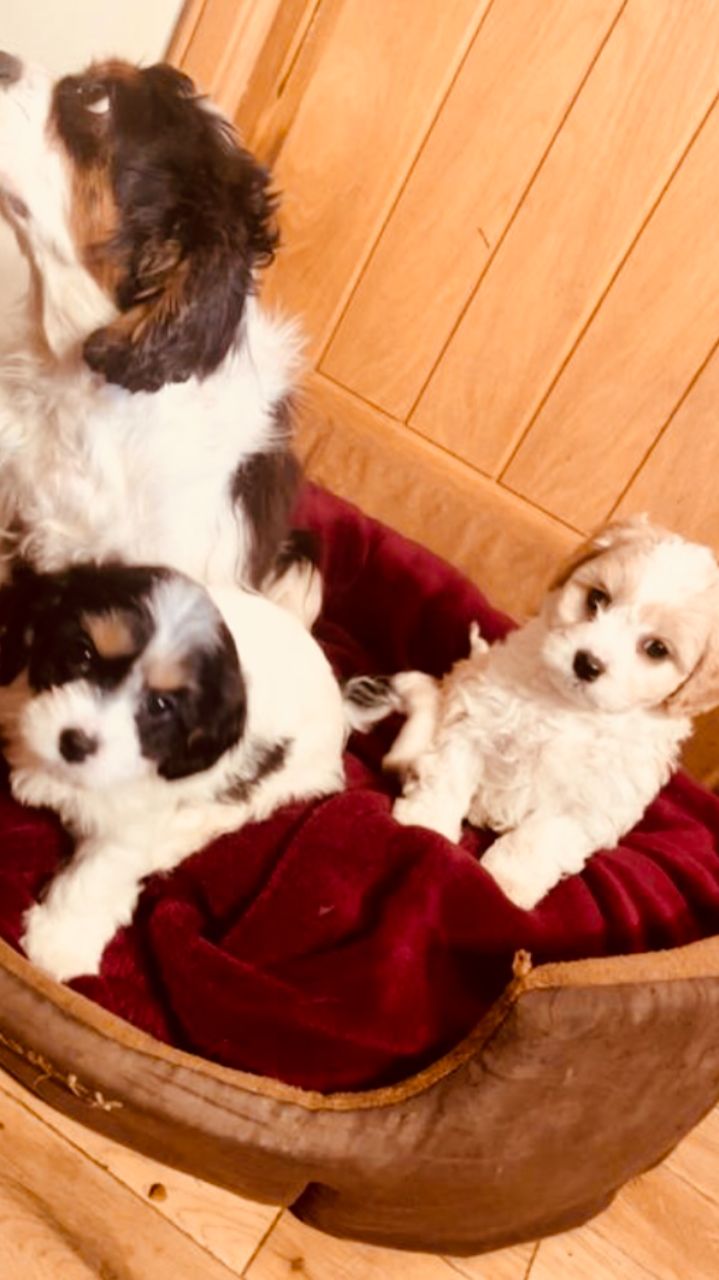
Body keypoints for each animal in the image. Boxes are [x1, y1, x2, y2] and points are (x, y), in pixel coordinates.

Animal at [0, 568, 347, 977]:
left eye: (160, 705)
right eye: (82, 654)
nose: (75, 744)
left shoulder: (136, 818)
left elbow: (99, 872)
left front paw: (60, 940)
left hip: (283, 779)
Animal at [345, 519, 716, 911]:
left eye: (657, 649)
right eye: (597, 599)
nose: (587, 663)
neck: (565, 707)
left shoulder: (592, 801)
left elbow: (540, 839)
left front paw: (504, 883)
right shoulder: (477, 717)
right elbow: (449, 773)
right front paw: (427, 827)